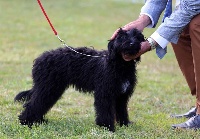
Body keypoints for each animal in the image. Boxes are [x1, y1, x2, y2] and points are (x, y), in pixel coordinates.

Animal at [14, 28, 145, 131]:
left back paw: (38, 121)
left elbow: (122, 110)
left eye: (137, 36)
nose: (132, 43)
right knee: (34, 103)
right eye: (122, 36)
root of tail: (39, 59)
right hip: (47, 87)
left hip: (51, 88)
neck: (119, 65)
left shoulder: (122, 95)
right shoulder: (104, 93)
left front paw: (125, 124)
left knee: (39, 103)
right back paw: (26, 122)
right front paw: (107, 127)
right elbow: (105, 111)